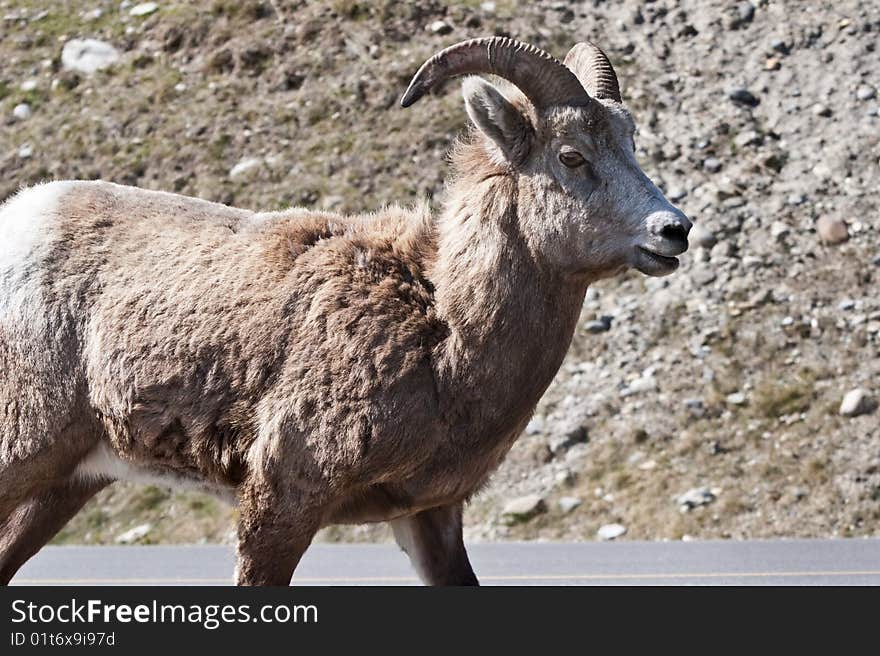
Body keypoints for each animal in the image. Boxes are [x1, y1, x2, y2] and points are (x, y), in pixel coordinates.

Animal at [0, 38, 688, 588]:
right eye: (571, 155)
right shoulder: (284, 497)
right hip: (24, 453)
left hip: (64, 484)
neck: (441, 332)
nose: (673, 230)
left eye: (630, 144)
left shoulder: (431, 516)